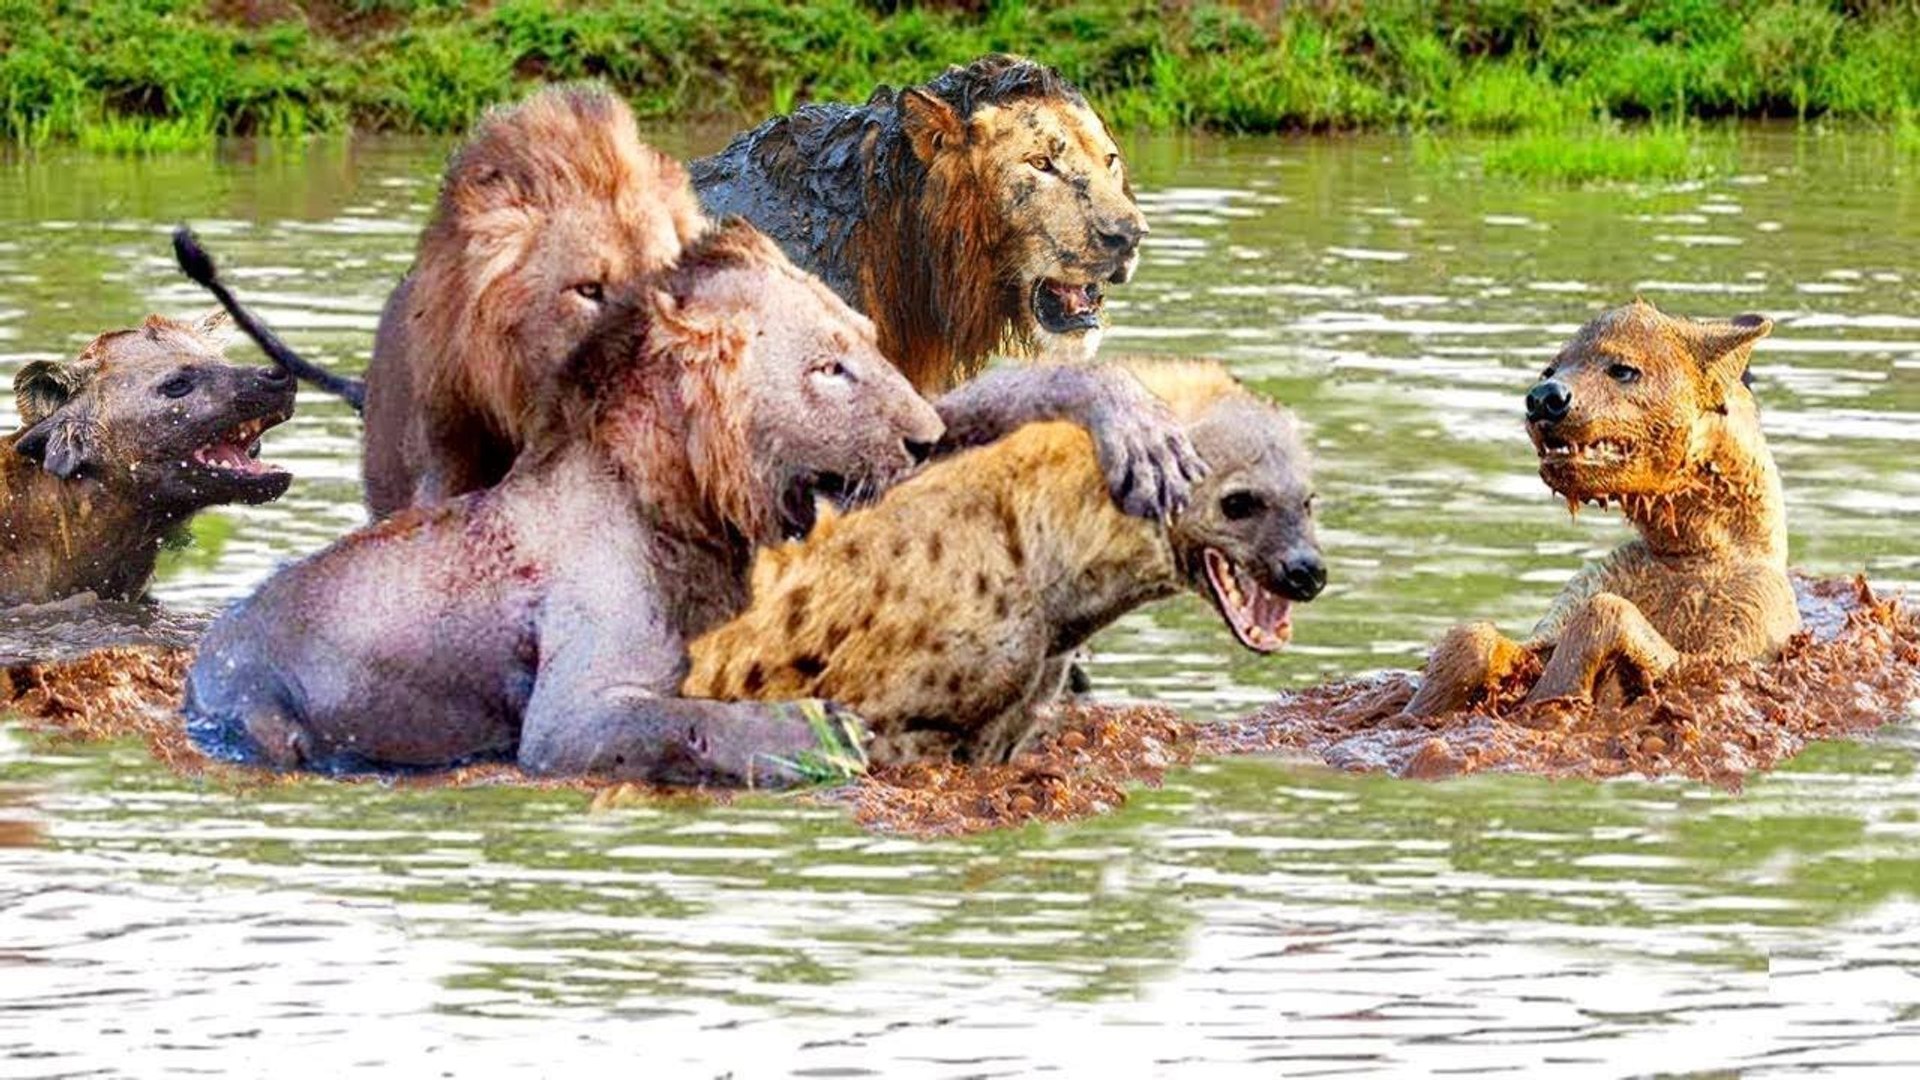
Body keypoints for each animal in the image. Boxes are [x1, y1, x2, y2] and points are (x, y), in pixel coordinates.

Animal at [184, 220, 943, 786]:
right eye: (829, 368)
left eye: (869, 342)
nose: (930, 438)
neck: (694, 517)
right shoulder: (564, 721)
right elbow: (688, 720)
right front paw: (824, 732)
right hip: (260, 711)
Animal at [1403, 300, 1799, 716]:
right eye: (1549, 370)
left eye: (1622, 369)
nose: (1544, 398)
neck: (1688, 550)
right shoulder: (1582, 594)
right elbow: (1480, 638)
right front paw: (1425, 703)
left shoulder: (1740, 637)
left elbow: (1610, 614)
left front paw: (1550, 698)